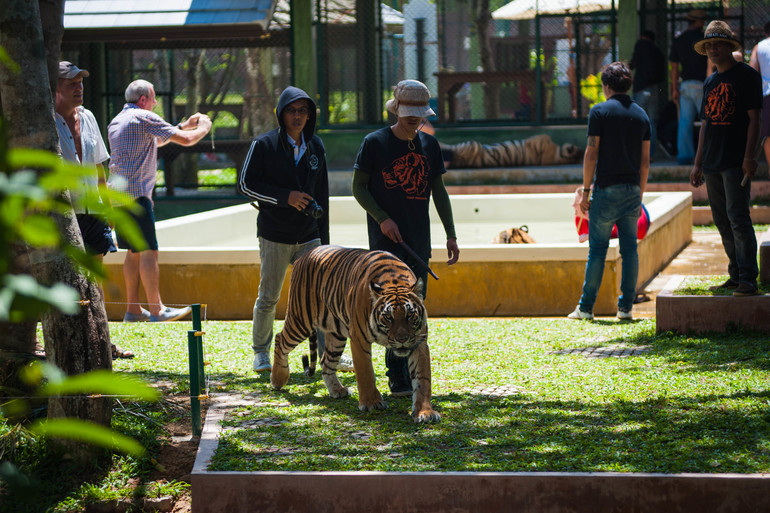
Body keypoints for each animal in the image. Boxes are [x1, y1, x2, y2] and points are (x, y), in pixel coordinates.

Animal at [270, 245, 440, 423]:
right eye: (388, 317)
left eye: (410, 315)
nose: (402, 339)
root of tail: (305, 255)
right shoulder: (359, 339)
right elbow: (365, 373)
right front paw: (372, 403)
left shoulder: (419, 342)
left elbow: (423, 379)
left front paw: (425, 412)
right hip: (301, 319)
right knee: (280, 339)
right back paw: (278, 380)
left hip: (336, 334)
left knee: (326, 361)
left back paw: (337, 390)